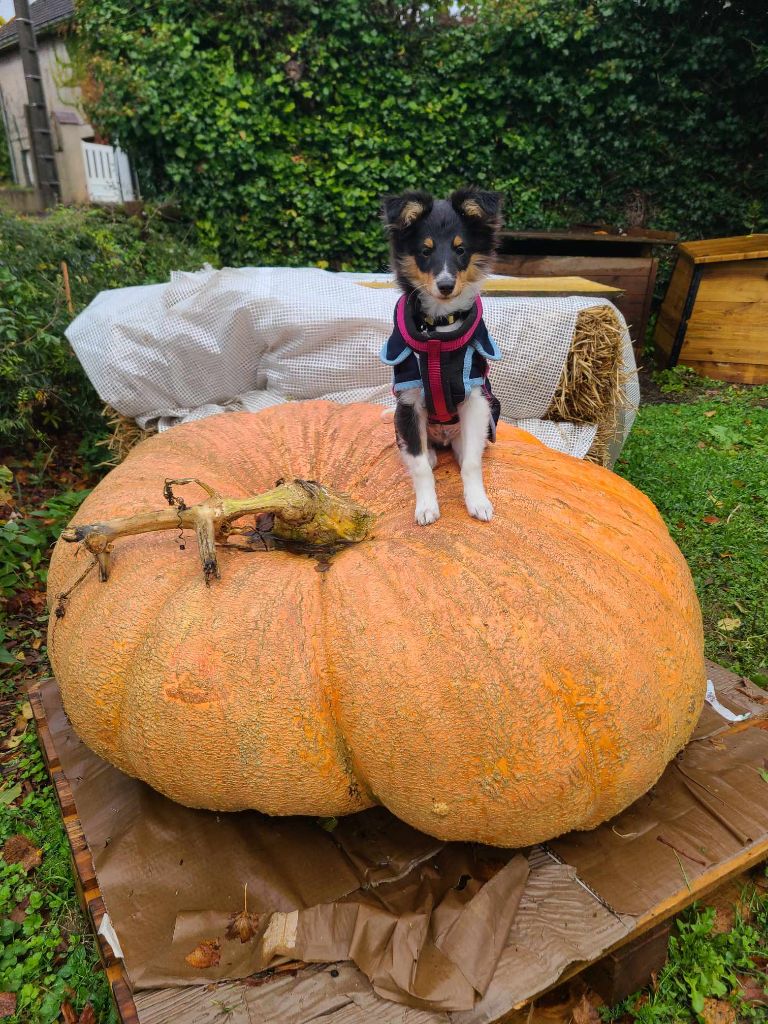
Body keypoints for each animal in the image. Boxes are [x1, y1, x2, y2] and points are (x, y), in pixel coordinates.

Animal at [380, 185, 505, 524]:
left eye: (461, 250)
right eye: (425, 251)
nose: (446, 285)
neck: (438, 329)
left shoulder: (475, 398)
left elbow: (472, 464)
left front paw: (478, 502)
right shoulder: (408, 400)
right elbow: (420, 466)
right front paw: (426, 507)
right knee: (422, 453)